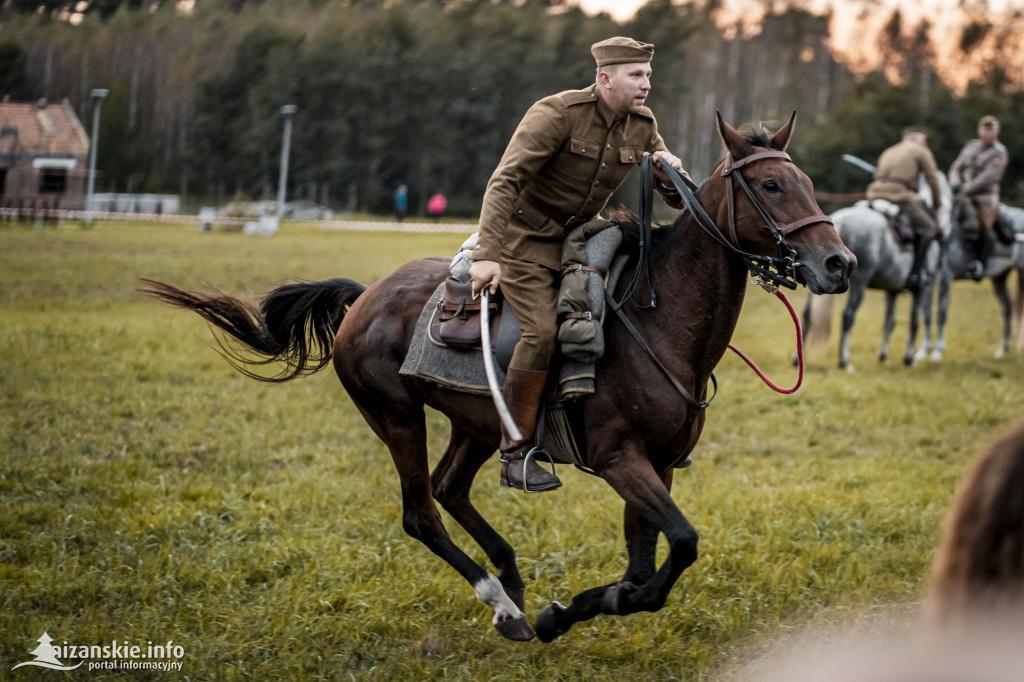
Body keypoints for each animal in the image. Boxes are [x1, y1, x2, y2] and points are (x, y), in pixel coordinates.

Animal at [142, 114, 856, 638]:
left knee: (451, 488)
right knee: (422, 512)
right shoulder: (621, 459)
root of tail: (367, 296)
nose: (840, 263)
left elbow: (644, 569)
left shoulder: (654, 464)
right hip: (396, 416)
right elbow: (678, 546)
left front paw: (571, 609)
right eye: (770, 187)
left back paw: (510, 579)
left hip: (480, 424)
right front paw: (562, 612)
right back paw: (505, 604)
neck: (657, 320)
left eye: (806, 182)